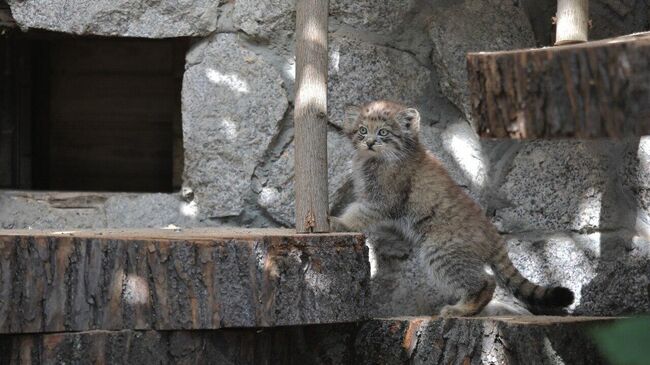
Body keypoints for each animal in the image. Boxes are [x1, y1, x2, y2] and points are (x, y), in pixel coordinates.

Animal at [330, 99, 572, 316]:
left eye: (383, 132)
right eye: (362, 130)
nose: (370, 142)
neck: (374, 159)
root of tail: (494, 235)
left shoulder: (382, 201)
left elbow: (358, 214)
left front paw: (338, 222)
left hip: (442, 251)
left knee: (486, 281)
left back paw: (461, 309)